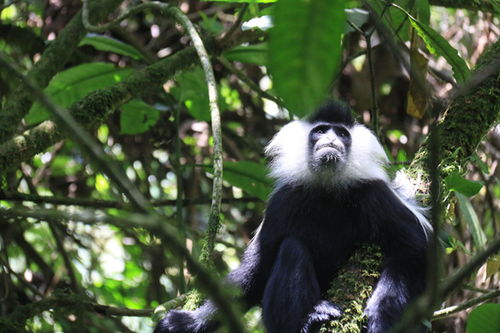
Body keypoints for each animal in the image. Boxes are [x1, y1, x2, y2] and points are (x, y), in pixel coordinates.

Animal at [155, 101, 430, 332]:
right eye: (321, 131)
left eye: (342, 134)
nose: (331, 138)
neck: (326, 192)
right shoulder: (282, 202)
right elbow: (255, 272)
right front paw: (186, 323)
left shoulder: (375, 195)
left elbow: (413, 251)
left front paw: (380, 317)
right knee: (291, 250)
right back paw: (312, 317)